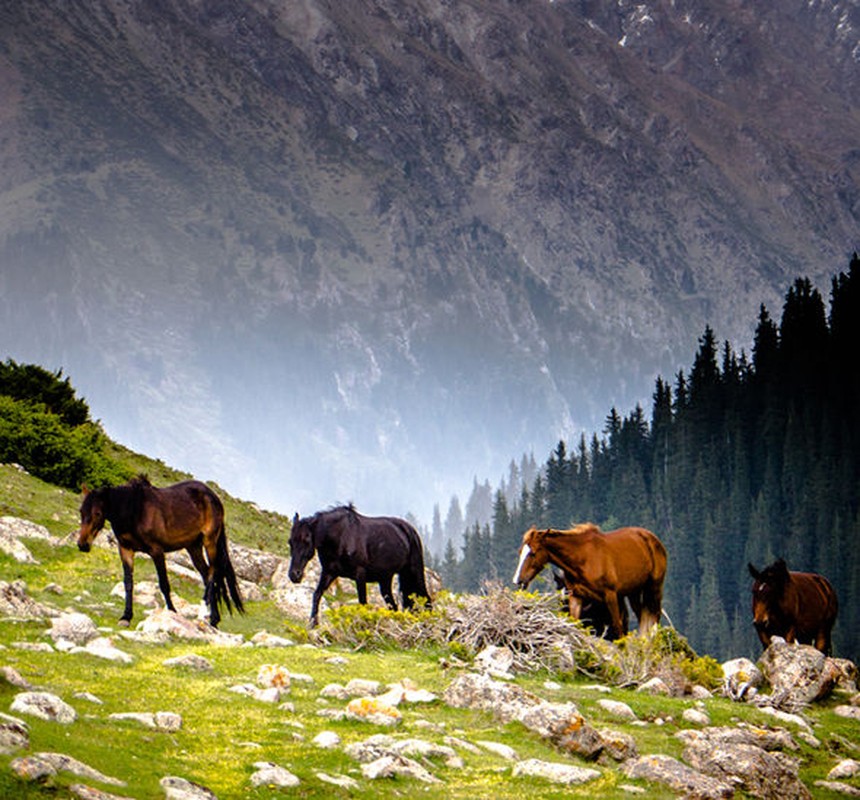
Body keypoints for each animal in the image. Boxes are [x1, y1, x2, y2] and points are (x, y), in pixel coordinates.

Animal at [76, 478, 244, 628]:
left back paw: (203, 612)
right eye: (81, 511)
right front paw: (126, 617)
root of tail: (213, 496)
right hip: (193, 547)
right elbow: (128, 583)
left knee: (212, 573)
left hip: (210, 542)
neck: (135, 511)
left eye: (98, 513)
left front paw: (172, 612)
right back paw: (214, 619)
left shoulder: (157, 551)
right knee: (206, 574)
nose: (82, 544)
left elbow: (164, 583)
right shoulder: (125, 550)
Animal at [288, 504, 434, 628]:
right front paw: (313, 624)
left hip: (414, 571)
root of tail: (410, 530)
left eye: (307, 540)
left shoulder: (360, 574)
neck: (341, 537)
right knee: (393, 605)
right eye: (290, 542)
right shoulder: (329, 572)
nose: (294, 575)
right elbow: (317, 595)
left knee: (426, 598)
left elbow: (362, 602)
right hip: (385, 579)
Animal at [512, 524, 668, 636]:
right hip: (633, 593)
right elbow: (574, 624)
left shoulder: (611, 596)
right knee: (643, 617)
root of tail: (651, 538)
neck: (583, 559)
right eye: (520, 552)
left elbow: (618, 628)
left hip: (654, 587)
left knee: (655, 617)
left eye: (532, 553)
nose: (517, 580)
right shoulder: (576, 596)